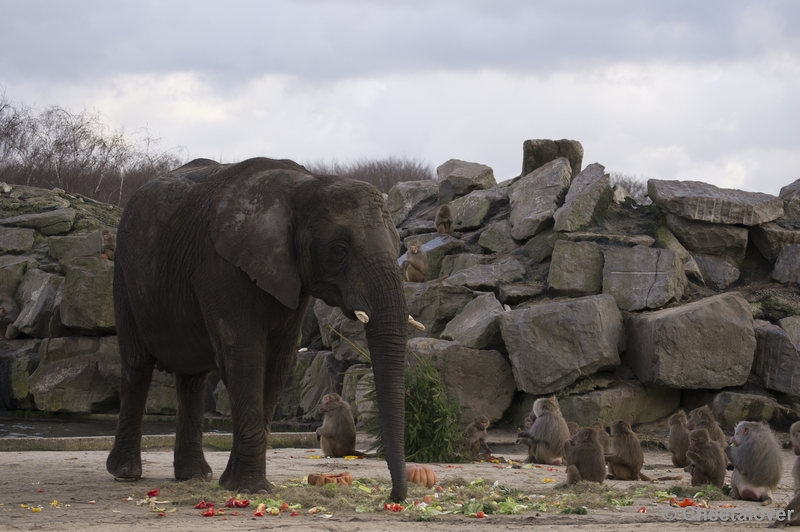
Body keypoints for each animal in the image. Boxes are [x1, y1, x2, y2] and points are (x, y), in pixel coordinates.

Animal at [106, 156, 412, 500]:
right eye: (339, 250)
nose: (393, 497)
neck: (305, 185)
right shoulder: (219, 265)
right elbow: (244, 356)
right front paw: (249, 488)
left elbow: (277, 363)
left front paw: (236, 485)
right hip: (124, 275)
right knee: (137, 366)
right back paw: (126, 473)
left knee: (192, 380)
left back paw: (194, 476)